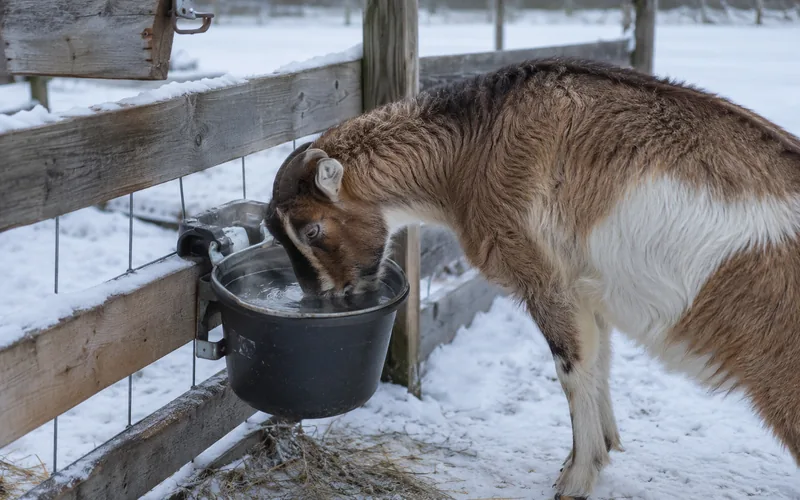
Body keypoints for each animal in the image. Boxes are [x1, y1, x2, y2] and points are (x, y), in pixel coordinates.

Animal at [264, 57, 800, 499]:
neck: (471, 145)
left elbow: (572, 371)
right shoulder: (588, 289)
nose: (326, 299)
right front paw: (602, 449)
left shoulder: (545, 277)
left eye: (312, 230)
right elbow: (600, 361)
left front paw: (576, 479)